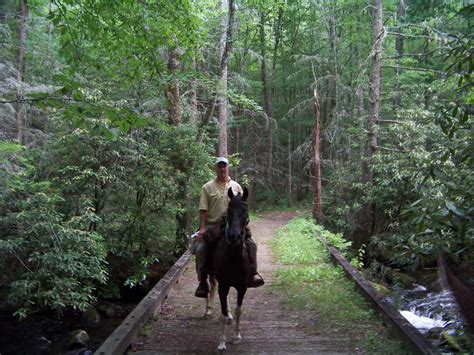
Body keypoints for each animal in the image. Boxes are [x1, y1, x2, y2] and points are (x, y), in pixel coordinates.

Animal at [206, 188, 252, 352]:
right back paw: (207, 309)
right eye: (229, 209)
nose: (234, 237)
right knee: (210, 288)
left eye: (245, 210)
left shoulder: (242, 286)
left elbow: (239, 310)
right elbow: (223, 314)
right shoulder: (224, 285)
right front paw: (222, 342)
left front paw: (237, 336)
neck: (234, 257)